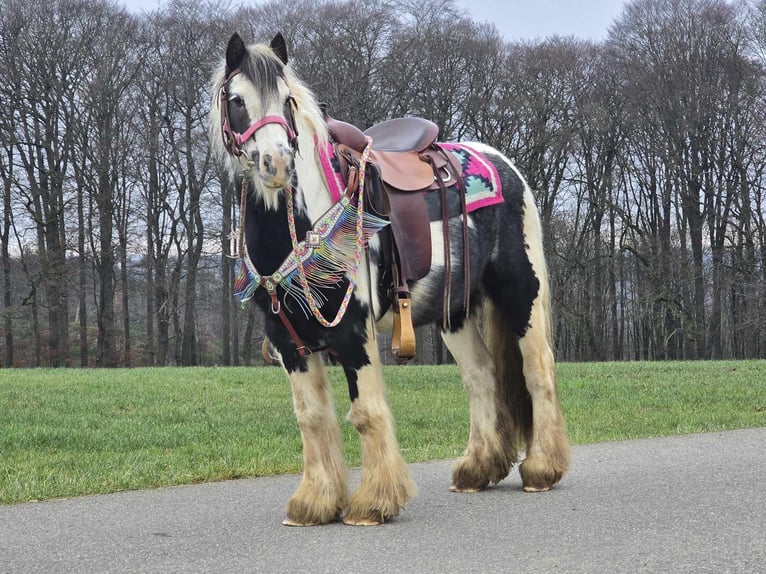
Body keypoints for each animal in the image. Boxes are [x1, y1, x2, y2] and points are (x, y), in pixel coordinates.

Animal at [210, 31, 568, 528]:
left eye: (287, 101)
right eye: (237, 100)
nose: (276, 163)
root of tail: (501, 163)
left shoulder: (353, 331)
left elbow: (365, 412)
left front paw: (372, 503)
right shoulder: (288, 339)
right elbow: (311, 417)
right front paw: (314, 503)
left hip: (521, 294)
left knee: (537, 370)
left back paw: (541, 469)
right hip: (453, 312)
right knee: (481, 377)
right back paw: (477, 469)